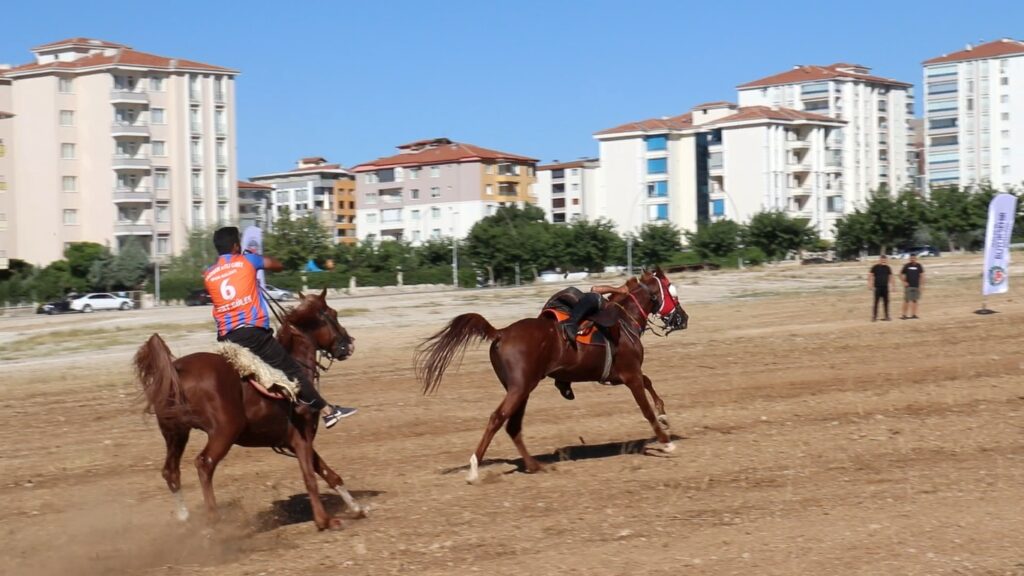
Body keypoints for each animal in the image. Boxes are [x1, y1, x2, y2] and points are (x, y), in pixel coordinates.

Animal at [134, 289, 362, 528]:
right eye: (333, 314)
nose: (350, 344)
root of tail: (176, 369)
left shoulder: (291, 441)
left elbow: (327, 473)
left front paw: (356, 508)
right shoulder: (302, 437)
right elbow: (310, 476)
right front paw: (324, 520)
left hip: (175, 433)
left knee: (171, 471)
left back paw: (184, 518)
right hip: (224, 431)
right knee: (204, 464)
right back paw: (214, 521)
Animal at [415, 266, 688, 481]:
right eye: (672, 292)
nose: (683, 318)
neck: (622, 321)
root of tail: (501, 332)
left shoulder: (622, 375)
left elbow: (649, 383)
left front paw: (664, 415)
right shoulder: (630, 375)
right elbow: (645, 409)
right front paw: (666, 442)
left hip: (521, 388)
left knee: (512, 426)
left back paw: (535, 466)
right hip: (520, 387)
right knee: (497, 418)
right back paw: (474, 469)